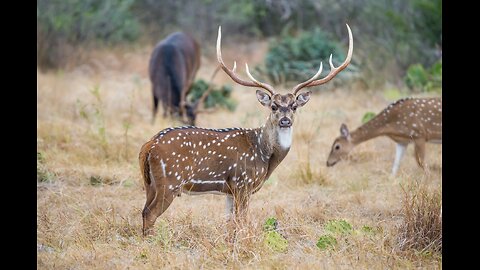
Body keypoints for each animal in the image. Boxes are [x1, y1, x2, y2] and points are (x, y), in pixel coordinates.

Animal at [139, 25, 352, 236]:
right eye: (273, 106)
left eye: (294, 106)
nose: (285, 121)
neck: (265, 155)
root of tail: (149, 146)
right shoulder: (243, 182)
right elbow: (242, 221)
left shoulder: (229, 190)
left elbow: (229, 222)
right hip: (170, 181)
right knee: (150, 213)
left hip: (150, 183)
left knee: (143, 210)